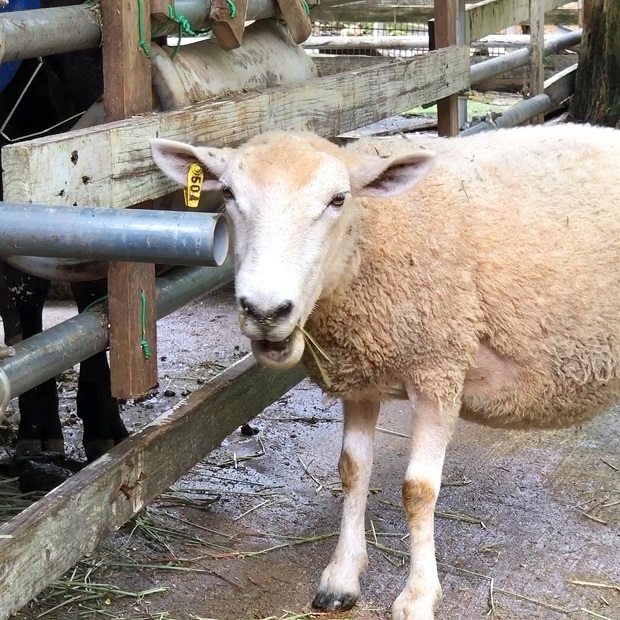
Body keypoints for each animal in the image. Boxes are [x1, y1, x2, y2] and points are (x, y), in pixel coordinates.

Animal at [150, 122, 620, 620]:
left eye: (338, 199)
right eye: (228, 194)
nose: (264, 311)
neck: (372, 233)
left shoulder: (439, 368)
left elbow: (418, 490)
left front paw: (418, 596)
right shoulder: (361, 376)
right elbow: (352, 470)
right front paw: (342, 576)